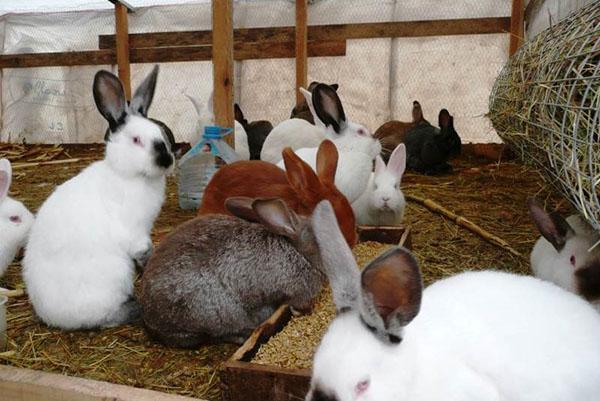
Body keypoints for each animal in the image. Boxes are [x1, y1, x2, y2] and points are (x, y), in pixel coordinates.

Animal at [23, 65, 173, 328]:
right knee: (105, 317)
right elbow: (143, 251)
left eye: (161, 133)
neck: (129, 175)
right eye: (136, 140)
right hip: (115, 275)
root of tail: (51, 316)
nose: (166, 160)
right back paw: (133, 308)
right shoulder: (135, 234)